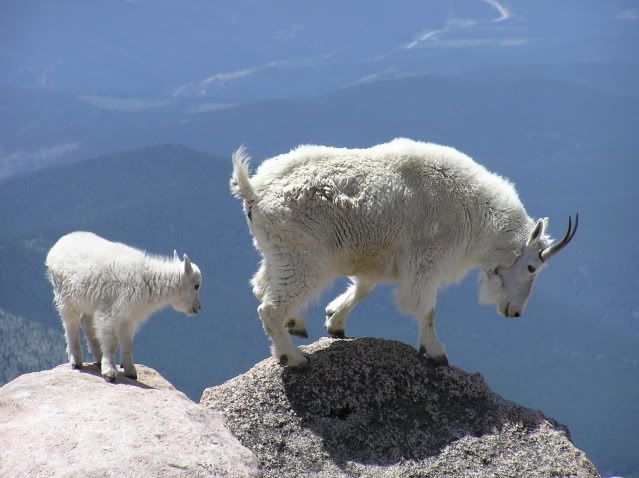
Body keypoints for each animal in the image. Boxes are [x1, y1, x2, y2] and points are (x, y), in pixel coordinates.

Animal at [46, 232, 201, 380]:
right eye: (196, 285)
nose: (198, 308)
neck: (149, 282)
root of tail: (56, 247)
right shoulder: (110, 311)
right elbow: (111, 341)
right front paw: (109, 372)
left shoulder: (127, 317)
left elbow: (127, 343)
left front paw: (130, 371)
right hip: (65, 295)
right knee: (70, 324)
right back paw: (76, 360)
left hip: (87, 300)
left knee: (86, 322)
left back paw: (98, 358)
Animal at [231, 138, 580, 370]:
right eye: (532, 267)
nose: (516, 312)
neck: (477, 214)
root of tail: (254, 192)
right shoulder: (424, 260)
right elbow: (427, 309)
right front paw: (437, 353)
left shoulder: (378, 256)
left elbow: (363, 288)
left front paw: (335, 322)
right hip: (303, 257)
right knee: (269, 307)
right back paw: (293, 357)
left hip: (279, 253)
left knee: (261, 285)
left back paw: (296, 324)